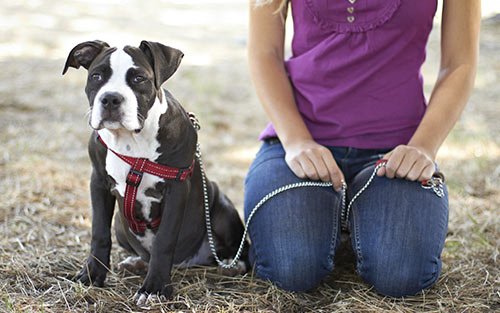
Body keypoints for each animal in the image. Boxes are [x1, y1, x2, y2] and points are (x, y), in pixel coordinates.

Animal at [62, 39, 248, 304]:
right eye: (96, 76)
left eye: (139, 78)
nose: (110, 99)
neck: (131, 140)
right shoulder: (98, 182)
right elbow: (99, 233)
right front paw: (91, 275)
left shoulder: (177, 189)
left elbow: (164, 241)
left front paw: (154, 288)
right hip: (120, 223)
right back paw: (137, 262)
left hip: (222, 209)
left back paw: (234, 265)